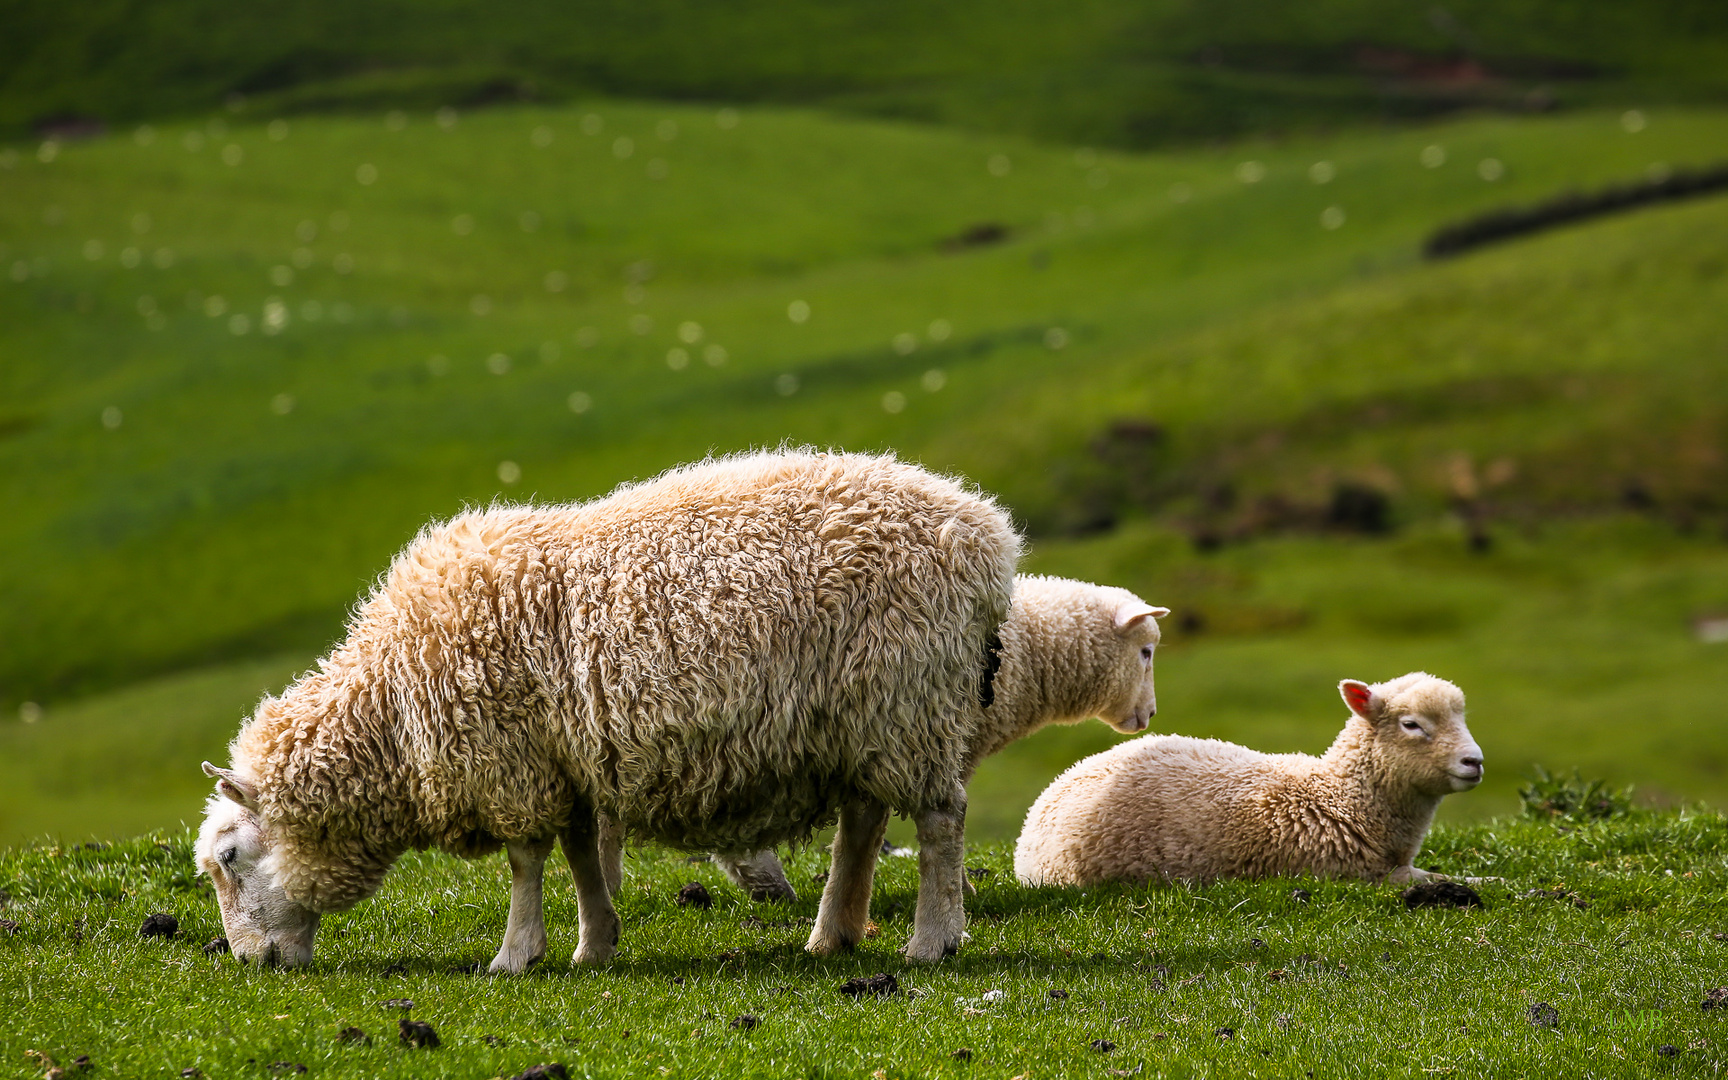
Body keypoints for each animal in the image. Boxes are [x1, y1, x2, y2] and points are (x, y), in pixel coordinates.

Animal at [196, 442, 1016, 967]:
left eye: (230, 859)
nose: (252, 964)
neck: (392, 708)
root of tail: (986, 537)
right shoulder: (566, 764)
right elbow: (581, 855)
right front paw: (595, 944)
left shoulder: (510, 760)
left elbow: (527, 864)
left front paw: (517, 954)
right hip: (862, 717)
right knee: (863, 820)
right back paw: (834, 933)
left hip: (909, 699)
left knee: (939, 822)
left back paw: (932, 940)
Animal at [1009, 670, 1486, 891]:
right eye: (1411, 724)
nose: (1475, 762)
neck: (1339, 795)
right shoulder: (1354, 874)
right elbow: (1437, 878)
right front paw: (1490, 884)